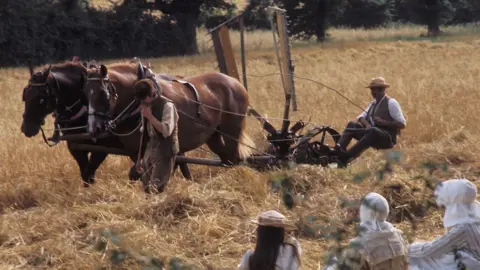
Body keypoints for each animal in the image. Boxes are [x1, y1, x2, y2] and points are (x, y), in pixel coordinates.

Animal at [83, 61, 255, 168]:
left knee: (234, 158)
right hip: (213, 134)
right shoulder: (135, 151)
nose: (93, 129)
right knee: (226, 159)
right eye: (85, 94)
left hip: (231, 130)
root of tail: (235, 82)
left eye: (103, 93)